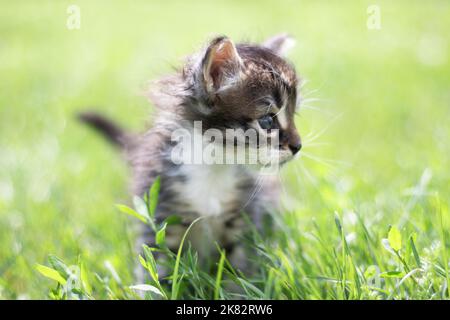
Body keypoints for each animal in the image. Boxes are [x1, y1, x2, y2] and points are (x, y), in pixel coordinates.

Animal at [80, 35, 302, 274]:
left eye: (293, 115)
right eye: (267, 121)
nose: (298, 146)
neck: (213, 165)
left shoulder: (245, 219)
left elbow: (241, 271)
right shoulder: (161, 217)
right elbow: (157, 272)